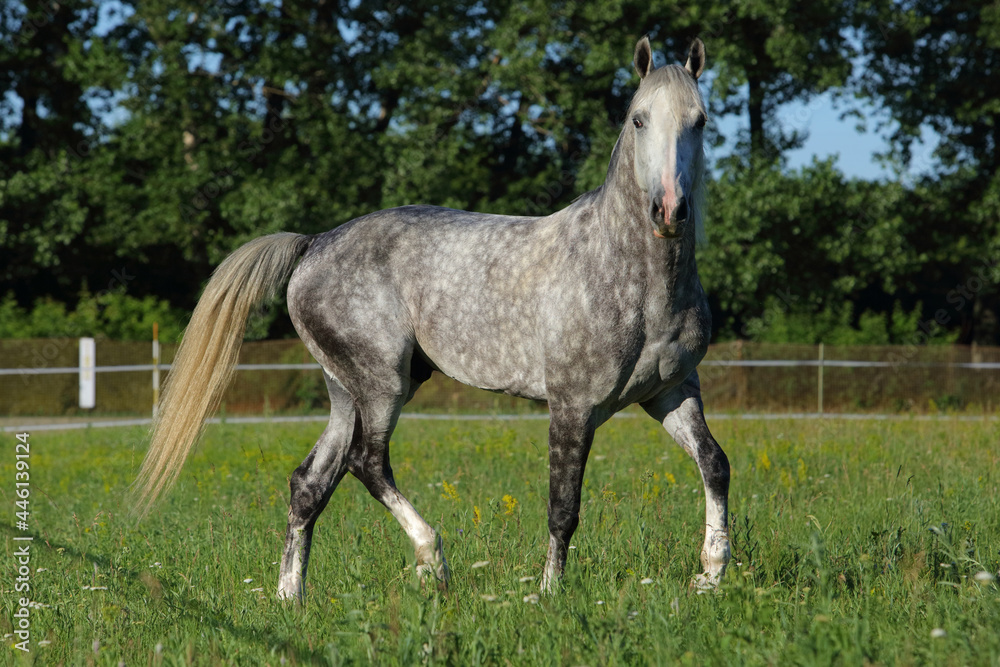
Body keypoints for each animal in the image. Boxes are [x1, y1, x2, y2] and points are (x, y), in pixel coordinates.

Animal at [133, 36, 731, 601]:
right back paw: (432, 562)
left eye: (700, 121)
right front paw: (548, 593)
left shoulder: (670, 393)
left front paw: (712, 574)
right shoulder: (573, 405)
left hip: (347, 390)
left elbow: (714, 462)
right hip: (382, 385)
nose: (669, 211)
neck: (632, 280)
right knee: (366, 462)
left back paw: (289, 598)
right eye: (638, 119)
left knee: (311, 482)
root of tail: (314, 243)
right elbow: (563, 507)